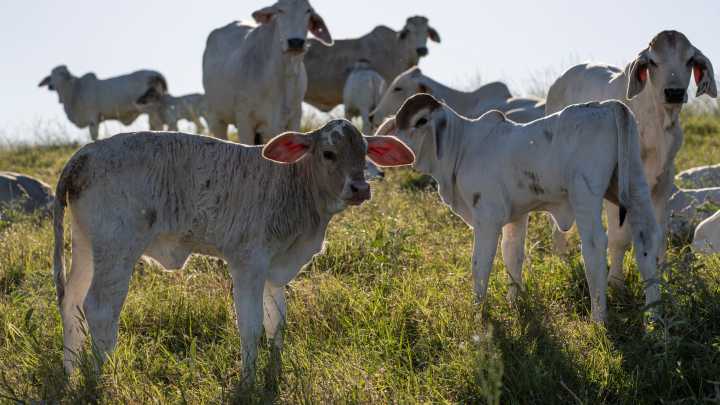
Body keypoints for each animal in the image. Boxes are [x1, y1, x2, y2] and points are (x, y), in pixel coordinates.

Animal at [38, 65, 167, 140]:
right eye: (51, 76)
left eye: (62, 74)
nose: (51, 86)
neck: (75, 90)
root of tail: (156, 74)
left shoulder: (93, 119)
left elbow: (94, 137)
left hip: (150, 108)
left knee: (157, 125)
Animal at [52, 120, 414, 388]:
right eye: (328, 153)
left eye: (364, 152)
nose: (360, 188)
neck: (291, 185)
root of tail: (84, 154)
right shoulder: (248, 265)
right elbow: (251, 327)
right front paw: (248, 382)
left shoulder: (274, 270)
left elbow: (276, 323)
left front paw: (274, 373)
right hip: (117, 250)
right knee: (99, 310)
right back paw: (100, 378)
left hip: (87, 247)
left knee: (72, 304)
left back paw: (70, 374)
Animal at [202, 0, 333, 143]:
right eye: (280, 10)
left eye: (308, 11)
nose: (295, 42)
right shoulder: (244, 119)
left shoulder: (294, 118)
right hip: (216, 118)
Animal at [379, 94, 660, 322]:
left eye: (421, 121)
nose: (398, 148)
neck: (461, 147)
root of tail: (609, 105)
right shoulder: (517, 216)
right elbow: (512, 255)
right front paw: (512, 303)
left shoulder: (487, 219)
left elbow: (480, 264)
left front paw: (477, 312)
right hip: (636, 185)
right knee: (646, 244)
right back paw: (654, 318)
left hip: (585, 194)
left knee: (594, 247)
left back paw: (599, 319)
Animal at [545, 31, 717, 289]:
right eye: (653, 61)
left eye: (689, 60)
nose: (674, 92)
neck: (657, 122)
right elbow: (618, 238)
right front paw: (616, 282)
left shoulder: (664, 182)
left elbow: (659, 234)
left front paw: (662, 275)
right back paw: (562, 258)